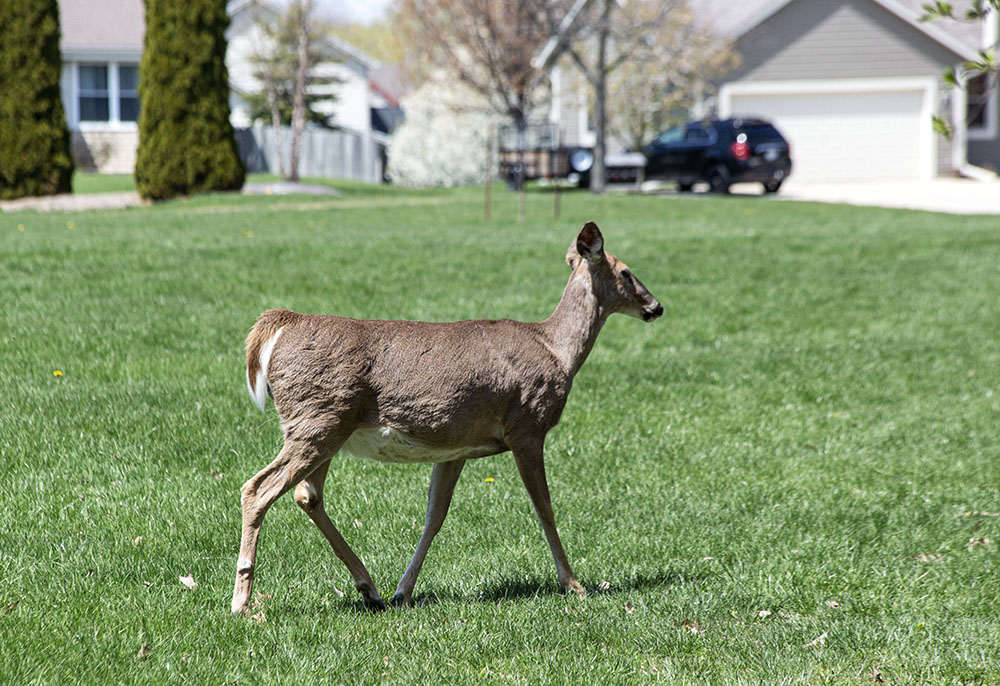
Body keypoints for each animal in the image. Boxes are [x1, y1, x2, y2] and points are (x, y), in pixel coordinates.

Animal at [230, 223, 660, 616]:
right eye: (626, 272)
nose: (656, 307)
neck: (557, 351)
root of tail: (280, 323)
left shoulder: (456, 445)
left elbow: (435, 516)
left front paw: (404, 591)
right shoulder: (527, 425)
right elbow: (545, 508)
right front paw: (573, 584)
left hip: (328, 426)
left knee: (308, 494)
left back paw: (370, 590)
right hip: (317, 419)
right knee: (257, 488)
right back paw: (242, 602)